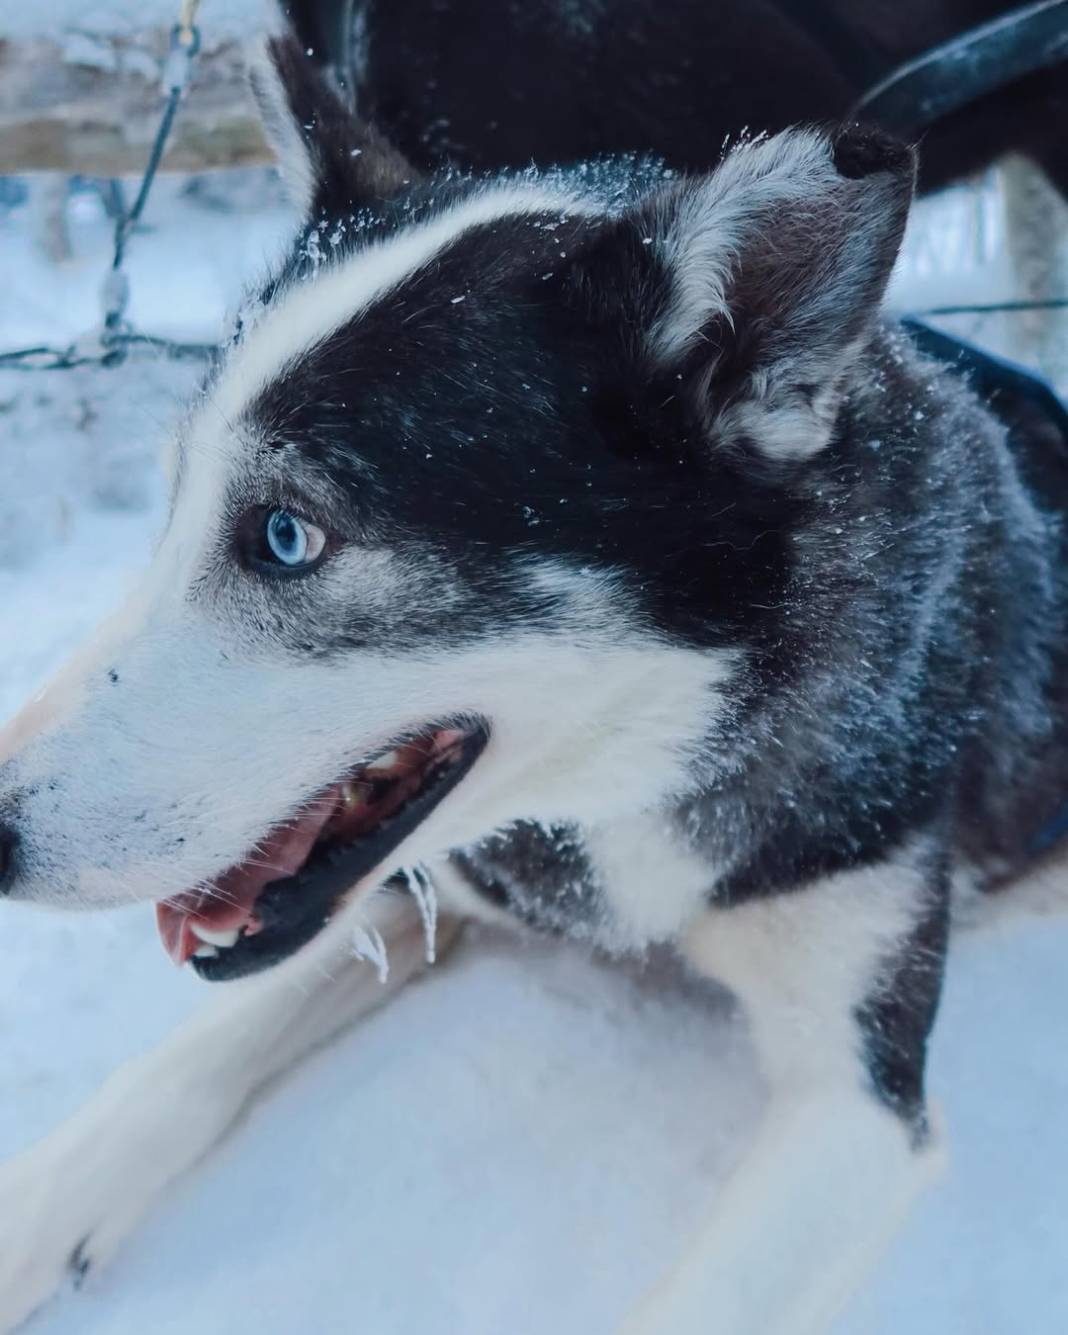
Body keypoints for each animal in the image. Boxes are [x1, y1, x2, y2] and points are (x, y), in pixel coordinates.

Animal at [2, 36, 1068, 1335]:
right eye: (177, 500)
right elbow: (177, 1069)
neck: (633, 792)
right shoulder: (427, 886)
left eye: (287, 536)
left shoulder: (860, 1106)